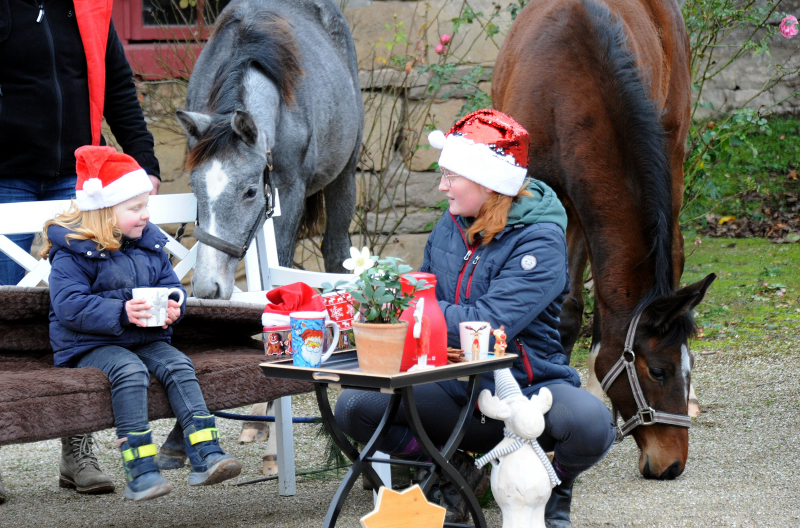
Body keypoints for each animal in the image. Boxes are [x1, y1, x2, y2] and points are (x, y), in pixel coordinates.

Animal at [178, 0, 362, 300]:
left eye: (250, 192)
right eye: (195, 188)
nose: (207, 286)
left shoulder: (288, 191)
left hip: (344, 177)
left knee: (336, 252)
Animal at [494, 0, 712, 478]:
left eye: (683, 369)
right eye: (658, 371)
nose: (672, 464)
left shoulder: (582, 208)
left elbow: (569, 311)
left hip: (671, 152)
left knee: (673, 247)